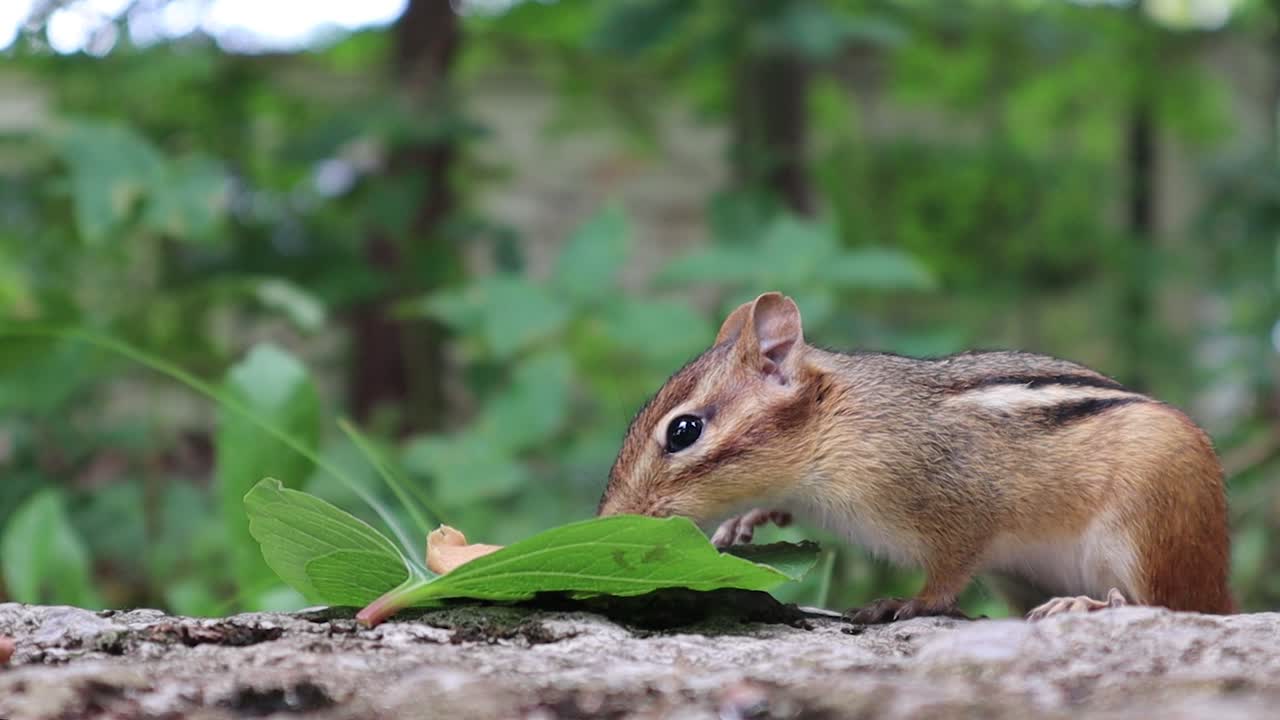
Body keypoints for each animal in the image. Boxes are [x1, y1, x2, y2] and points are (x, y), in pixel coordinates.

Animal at [597, 291, 1234, 622]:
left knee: (1164, 605)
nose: (608, 520)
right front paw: (743, 522)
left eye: (684, 431)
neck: (837, 424)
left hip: (1150, 523)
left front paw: (904, 602)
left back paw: (1090, 603)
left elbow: (948, 574)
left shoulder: (961, 506)